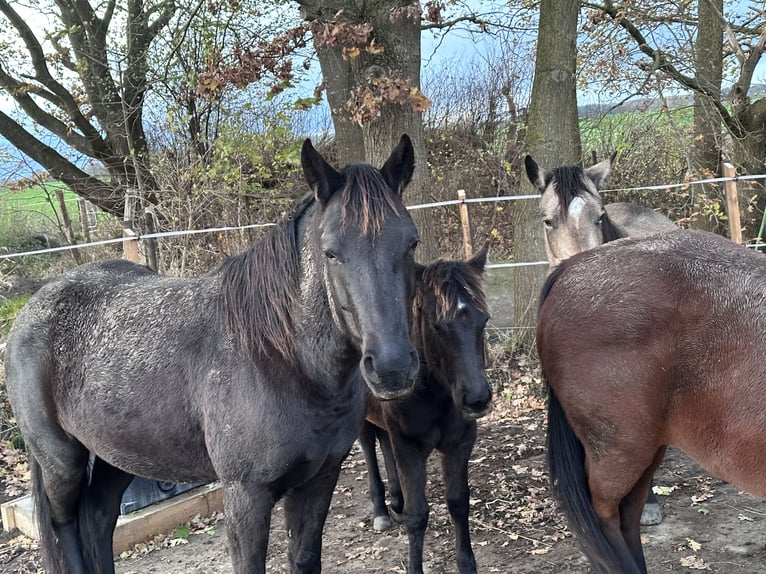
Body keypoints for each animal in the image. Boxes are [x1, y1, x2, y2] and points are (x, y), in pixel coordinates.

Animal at [4, 135, 422, 574]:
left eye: (411, 243)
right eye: (331, 252)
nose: (392, 368)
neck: (281, 362)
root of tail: (32, 308)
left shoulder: (318, 481)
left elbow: (305, 559)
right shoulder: (245, 496)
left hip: (115, 456)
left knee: (98, 519)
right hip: (61, 461)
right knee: (65, 523)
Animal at [359, 241, 493, 574]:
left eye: (484, 320)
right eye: (437, 325)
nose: (477, 399)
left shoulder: (459, 443)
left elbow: (458, 502)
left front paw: (467, 565)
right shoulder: (408, 446)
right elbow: (418, 515)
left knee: (384, 444)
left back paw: (395, 501)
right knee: (369, 448)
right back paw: (381, 510)